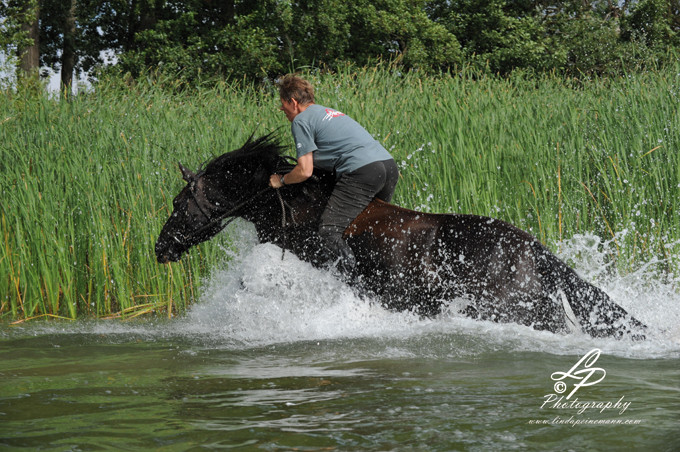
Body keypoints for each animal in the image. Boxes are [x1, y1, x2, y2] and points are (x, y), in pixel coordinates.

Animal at [155, 134, 648, 340]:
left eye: (178, 205)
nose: (160, 249)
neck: (292, 199)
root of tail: (534, 249)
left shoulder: (299, 248)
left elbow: (252, 279)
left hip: (517, 308)